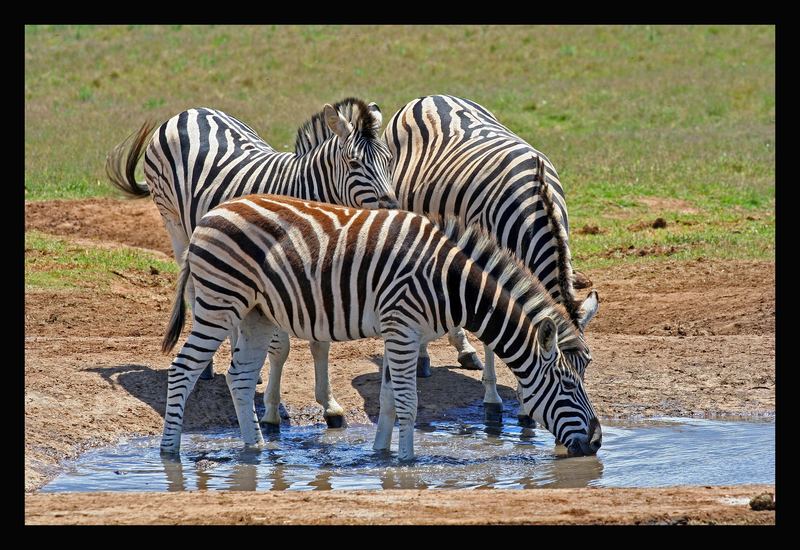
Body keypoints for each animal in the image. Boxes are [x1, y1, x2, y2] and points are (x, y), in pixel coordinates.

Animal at [107, 98, 396, 406]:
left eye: (389, 160)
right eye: (354, 163)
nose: (392, 205)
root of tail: (191, 111)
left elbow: (320, 342)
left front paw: (328, 404)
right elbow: (281, 347)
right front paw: (273, 406)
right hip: (175, 224)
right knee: (195, 290)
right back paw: (207, 368)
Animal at [161, 194, 600, 462]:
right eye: (567, 385)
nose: (596, 442)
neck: (450, 284)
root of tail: (210, 215)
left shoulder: (399, 331)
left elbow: (390, 400)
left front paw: (381, 455)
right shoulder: (402, 328)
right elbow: (409, 402)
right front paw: (408, 461)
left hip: (256, 313)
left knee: (239, 377)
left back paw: (255, 449)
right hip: (220, 302)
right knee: (182, 370)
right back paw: (169, 451)